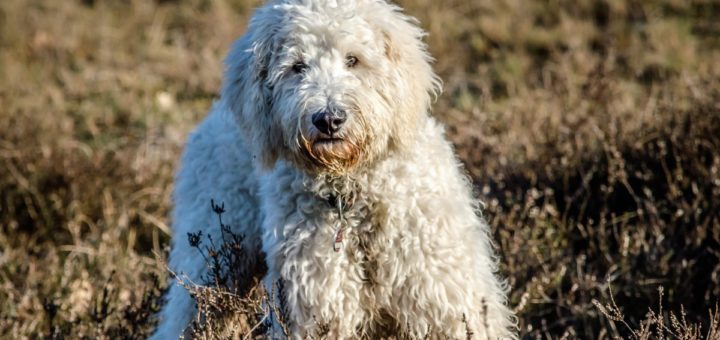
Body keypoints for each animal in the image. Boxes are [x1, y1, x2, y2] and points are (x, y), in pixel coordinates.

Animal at [155, 0, 520, 338]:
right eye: (297, 66)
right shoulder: (316, 302)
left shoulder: (447, 299)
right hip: (213, 252)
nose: (328, 119)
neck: (354, 195)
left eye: (353, 59)